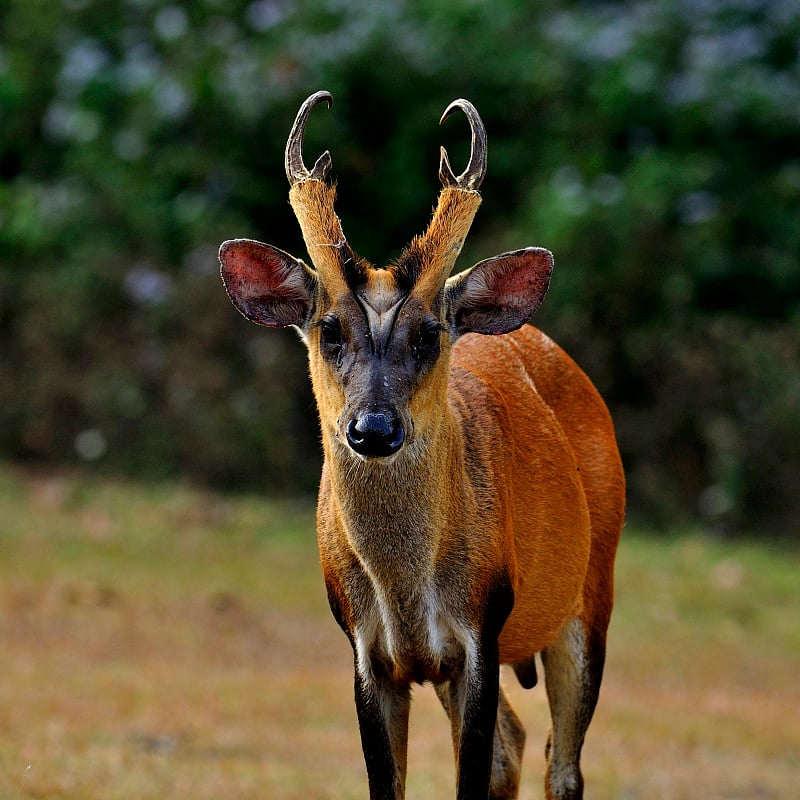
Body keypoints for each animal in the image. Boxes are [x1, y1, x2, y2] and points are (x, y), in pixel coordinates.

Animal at [219, 90, 624, 796]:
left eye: (430, 333)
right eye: (329, 330)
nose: (373, 428)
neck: (407, 588)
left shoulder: (482, 630)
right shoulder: (367, 650)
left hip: (590, 591)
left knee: (564, 763)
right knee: (516, 744)